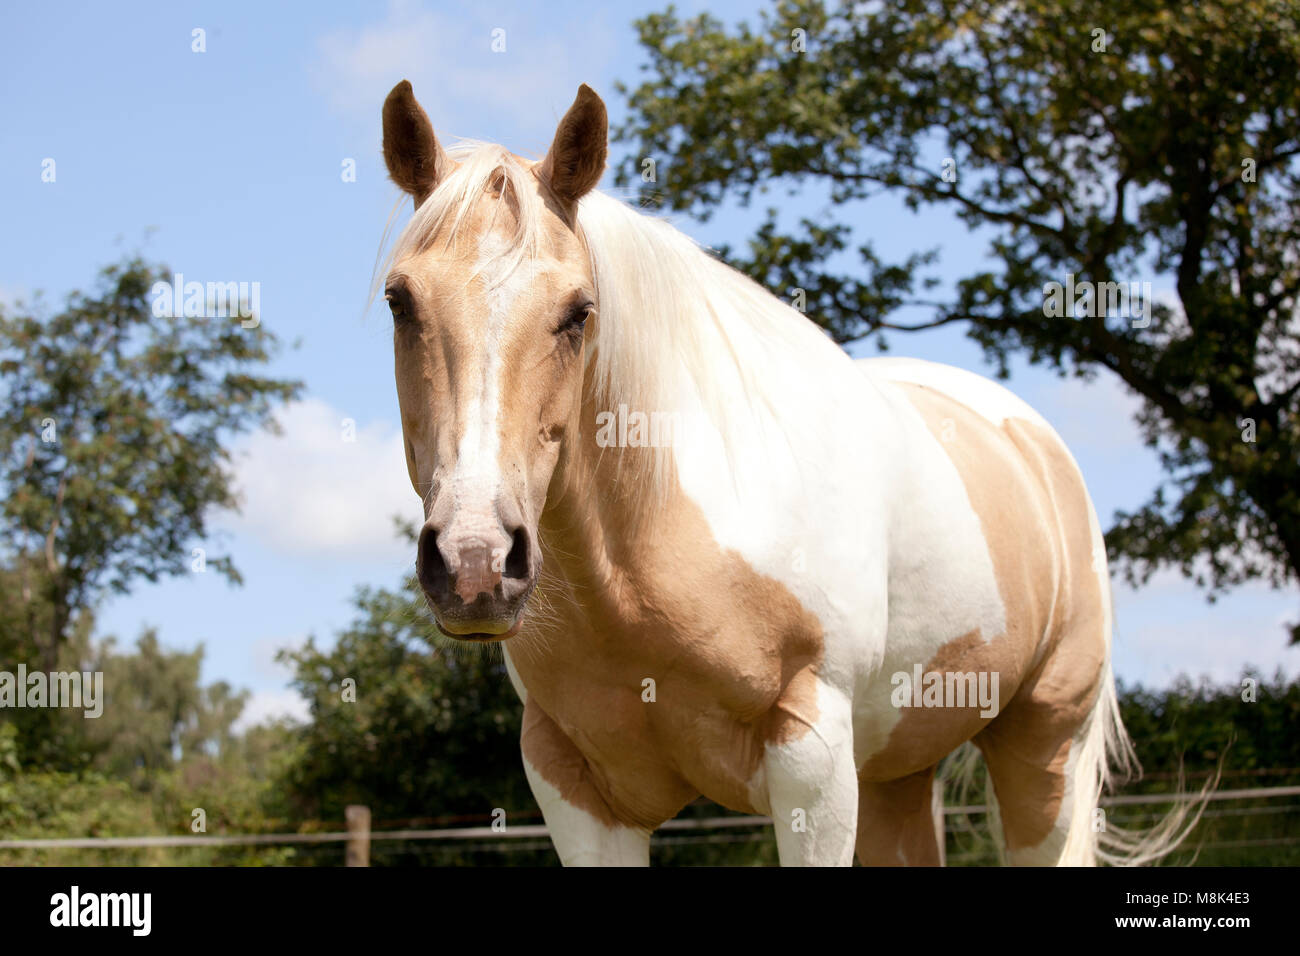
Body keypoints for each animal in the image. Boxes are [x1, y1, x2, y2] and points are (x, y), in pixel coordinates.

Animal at [374, 80, 1190, 868]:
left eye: (579, 312)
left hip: (1045, 747)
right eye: (399, 301)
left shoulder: (812, 761)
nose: (475, 561)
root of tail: (1037, 447)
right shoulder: (574, 786)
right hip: (896, 774)